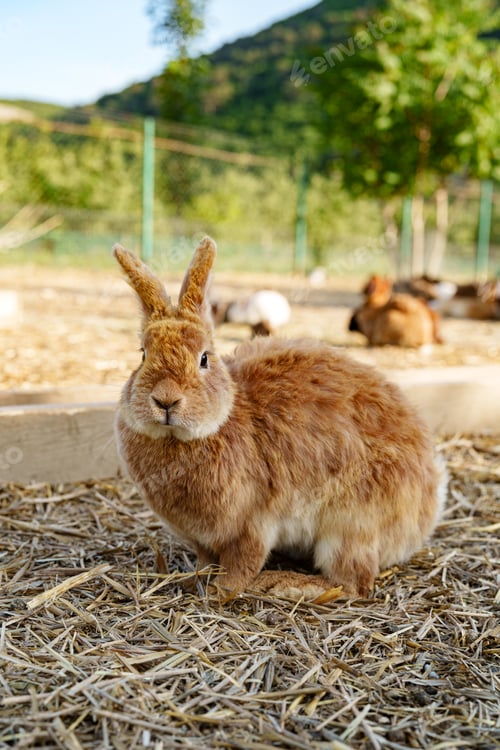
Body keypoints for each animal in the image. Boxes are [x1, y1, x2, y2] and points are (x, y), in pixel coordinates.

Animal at [113, 238, 447, 602]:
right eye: (143, 355)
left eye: (203, 359)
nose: (165, 400)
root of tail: (429, 504)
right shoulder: (203, 539)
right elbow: (204, 561)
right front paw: (193, 581)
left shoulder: (251, 525)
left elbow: (241, 566)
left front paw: (220, 591)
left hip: (349, 526)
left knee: (351, 584)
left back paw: (283, 584)